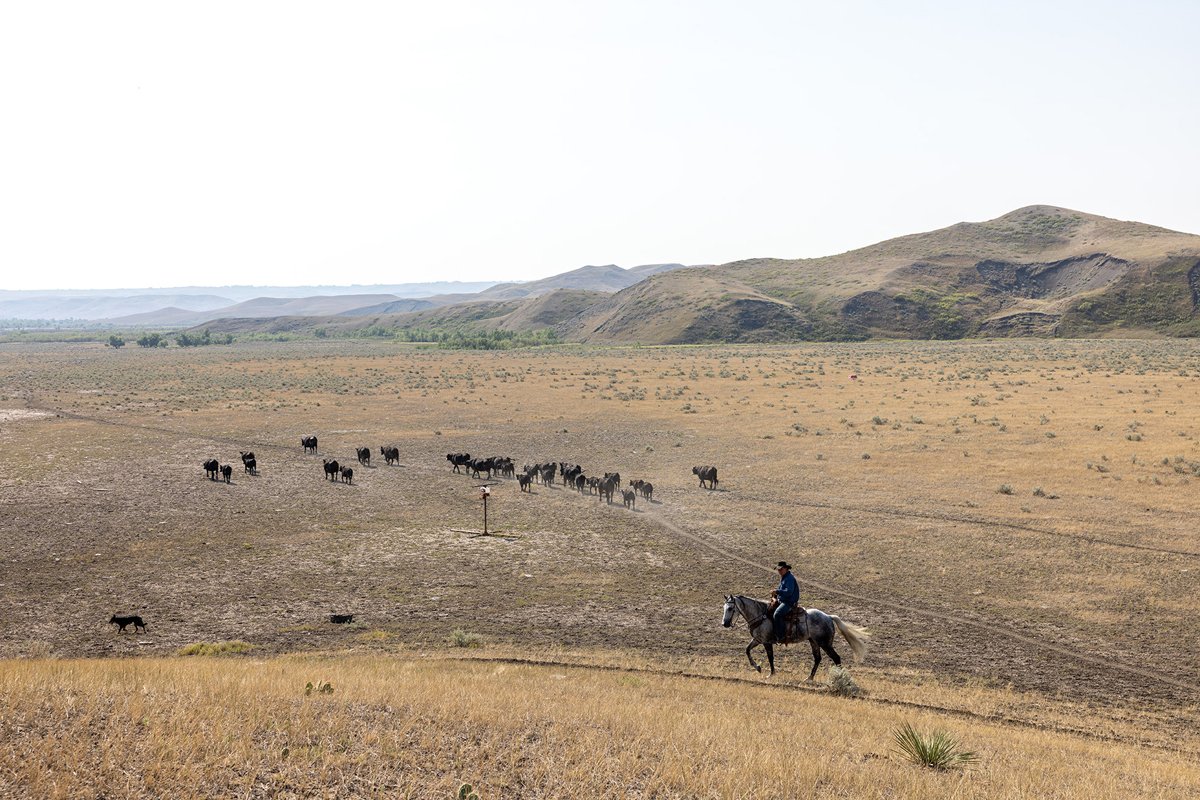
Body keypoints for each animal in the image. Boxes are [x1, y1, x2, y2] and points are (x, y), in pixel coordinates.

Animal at [715, 597, 868, 681]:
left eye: (730, 608)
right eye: (724, 607)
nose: (725, 623)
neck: (760, 615)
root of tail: (829, 617)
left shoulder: (766, 642)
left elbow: (770, 657)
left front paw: (771, 674)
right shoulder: (758, 640)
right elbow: (747, 650)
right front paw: (757, 667)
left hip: (825, 643)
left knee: (836, 658)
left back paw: (839, 679)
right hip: (814, 642)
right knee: (817, 659)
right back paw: (809, 678)